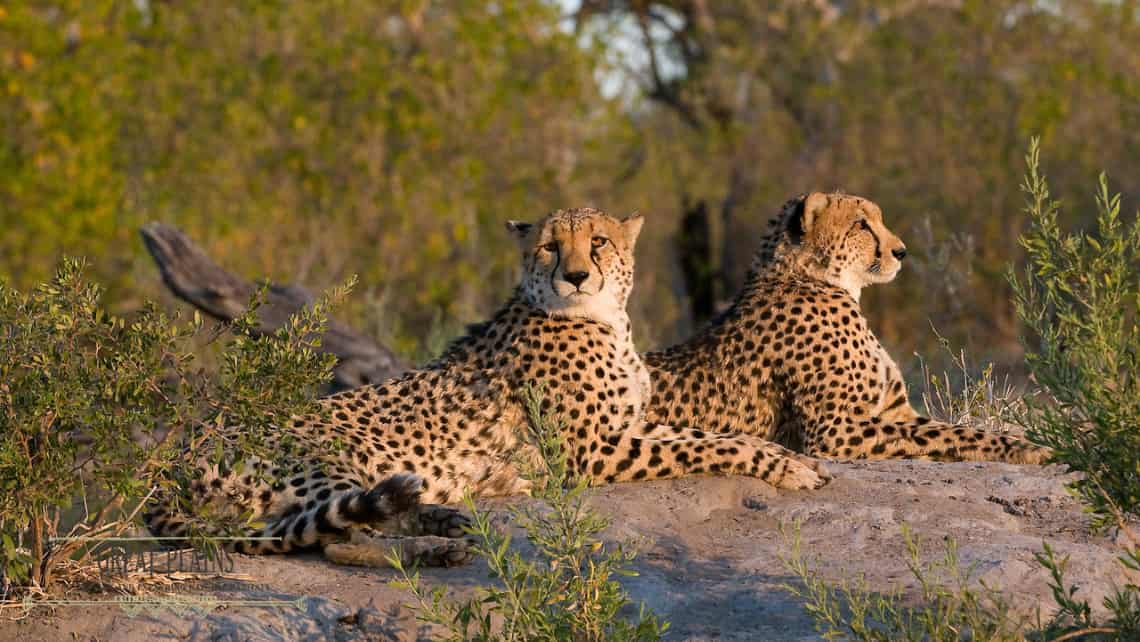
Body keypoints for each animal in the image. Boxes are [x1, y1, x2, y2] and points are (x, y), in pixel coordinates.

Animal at [147, 206, 834, 567]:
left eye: (598, 242)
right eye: (550, 247)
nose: (576, 275)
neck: (604, 317)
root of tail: (175, 456)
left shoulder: (630, 427)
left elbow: (710, 432)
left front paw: (793, 458)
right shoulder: (594, 454)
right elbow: (714, 443)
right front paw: (792, 468)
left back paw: (445, 519)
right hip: (332, 458)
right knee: (343, 538)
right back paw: (437, 545)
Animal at [642, 193, 1048, 465]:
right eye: (861, 224)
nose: (901, 251)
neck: (816, 277)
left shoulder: (896, 412)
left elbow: (952, 429)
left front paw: (1030, 444)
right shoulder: (836, 431)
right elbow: (945, 436)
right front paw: (1028, 451)